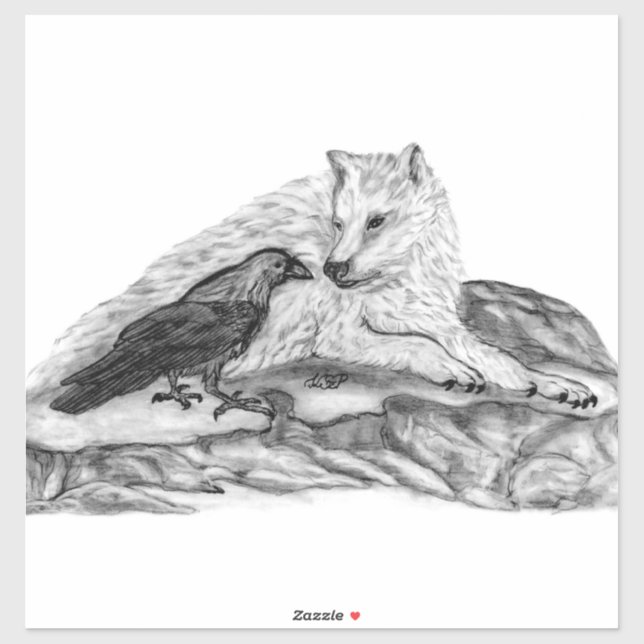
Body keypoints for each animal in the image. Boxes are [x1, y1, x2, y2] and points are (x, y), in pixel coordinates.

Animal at [31, 144, 595, 409]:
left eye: (376, 221)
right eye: (338, 222)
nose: (332, 268)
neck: (393, 279)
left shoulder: (431, 312)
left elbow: (495, 354)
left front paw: (553, 384)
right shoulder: (340, 335)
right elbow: (419, 346)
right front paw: (453, 371)